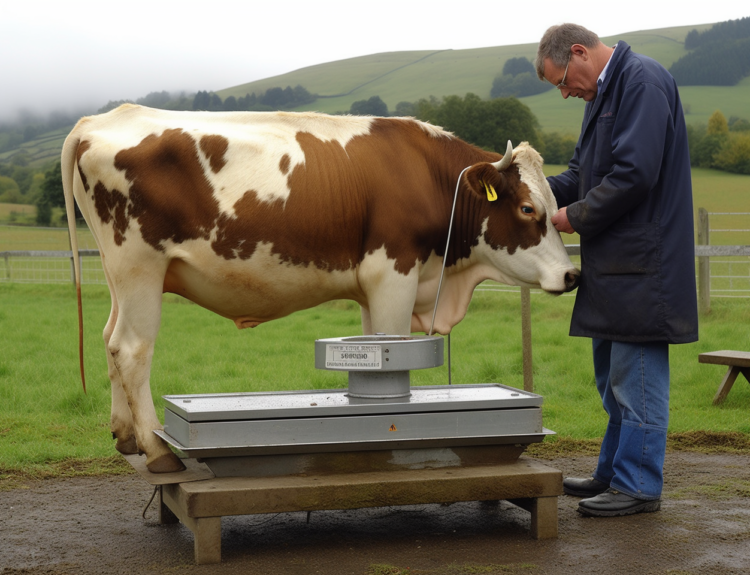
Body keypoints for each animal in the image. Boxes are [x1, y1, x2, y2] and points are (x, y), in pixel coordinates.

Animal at [63, 103, 580, 472]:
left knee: (109, 340)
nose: (571, 275)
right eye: (528, 209)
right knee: (132, 349)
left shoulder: (375, 287)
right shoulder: (393, 273)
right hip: (140, 267)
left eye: (554, 204)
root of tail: (100, 119)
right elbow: (391, 347)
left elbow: (375, 347)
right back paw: (158, 451)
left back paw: (126, 435)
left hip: (119, 274)